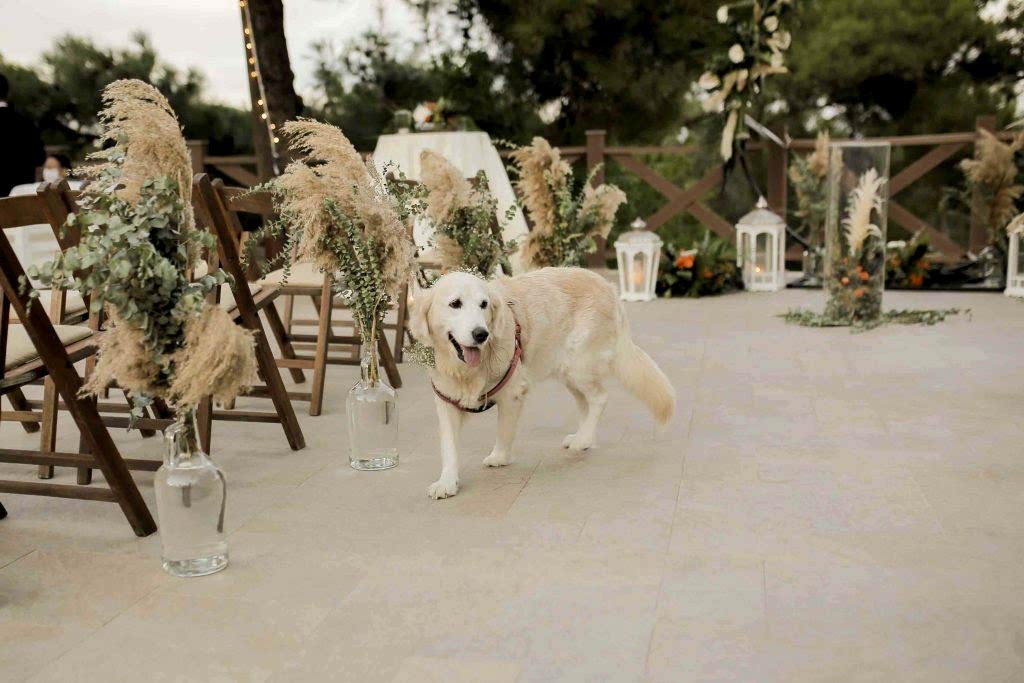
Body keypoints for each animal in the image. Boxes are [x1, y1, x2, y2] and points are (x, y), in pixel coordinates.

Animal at [409, 267, 675, 499]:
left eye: (483, 304)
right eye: (455, 304)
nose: (481, 334)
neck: (465, 370)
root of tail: (608, 287)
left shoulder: (512, 392)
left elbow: (504, 430)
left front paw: (500, 456)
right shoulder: (446, 402)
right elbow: (449, 447)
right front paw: (446, 482)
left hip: (579, 366)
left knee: (600, 398)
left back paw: (584, 440)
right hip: (569, 373)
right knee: (585, 404)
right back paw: (581, 437)